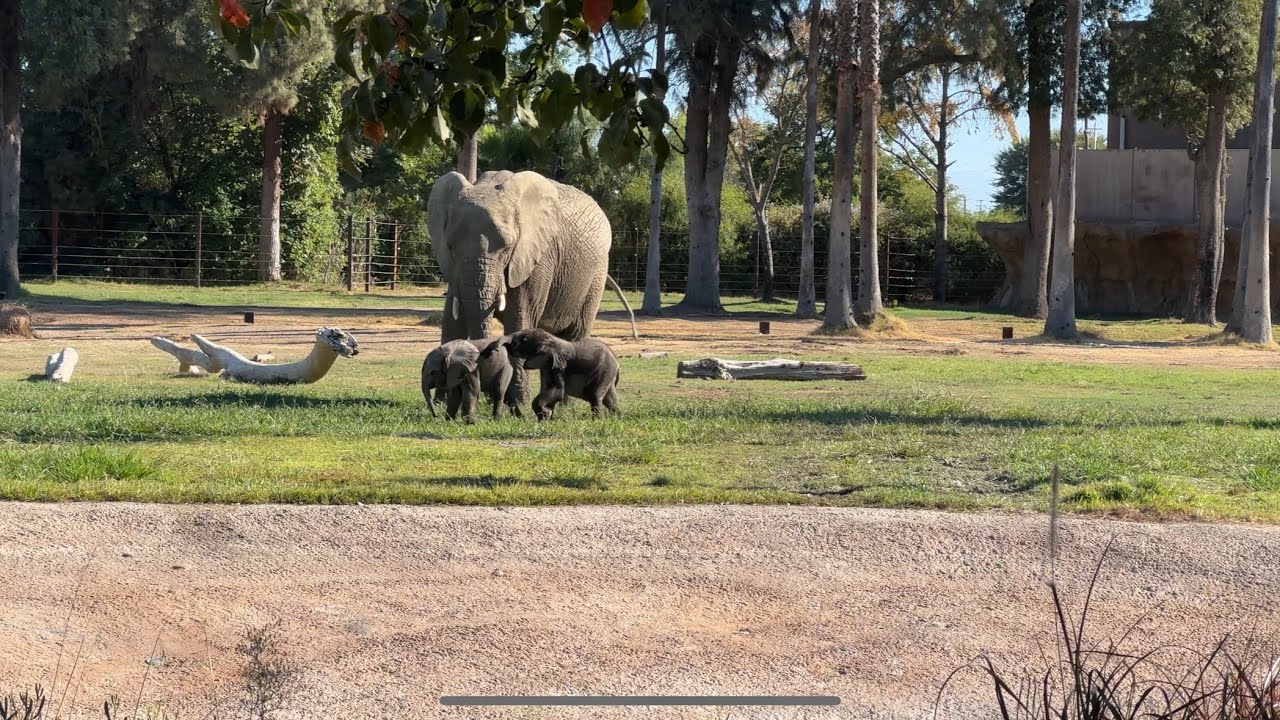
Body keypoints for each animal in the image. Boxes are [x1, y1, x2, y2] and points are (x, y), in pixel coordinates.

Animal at [427, 169, 637, 345]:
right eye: (450, 247)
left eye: (507, 248)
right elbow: (452, 324)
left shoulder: (536, 258)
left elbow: (519, 322)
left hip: (596, 273)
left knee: (576, 334)